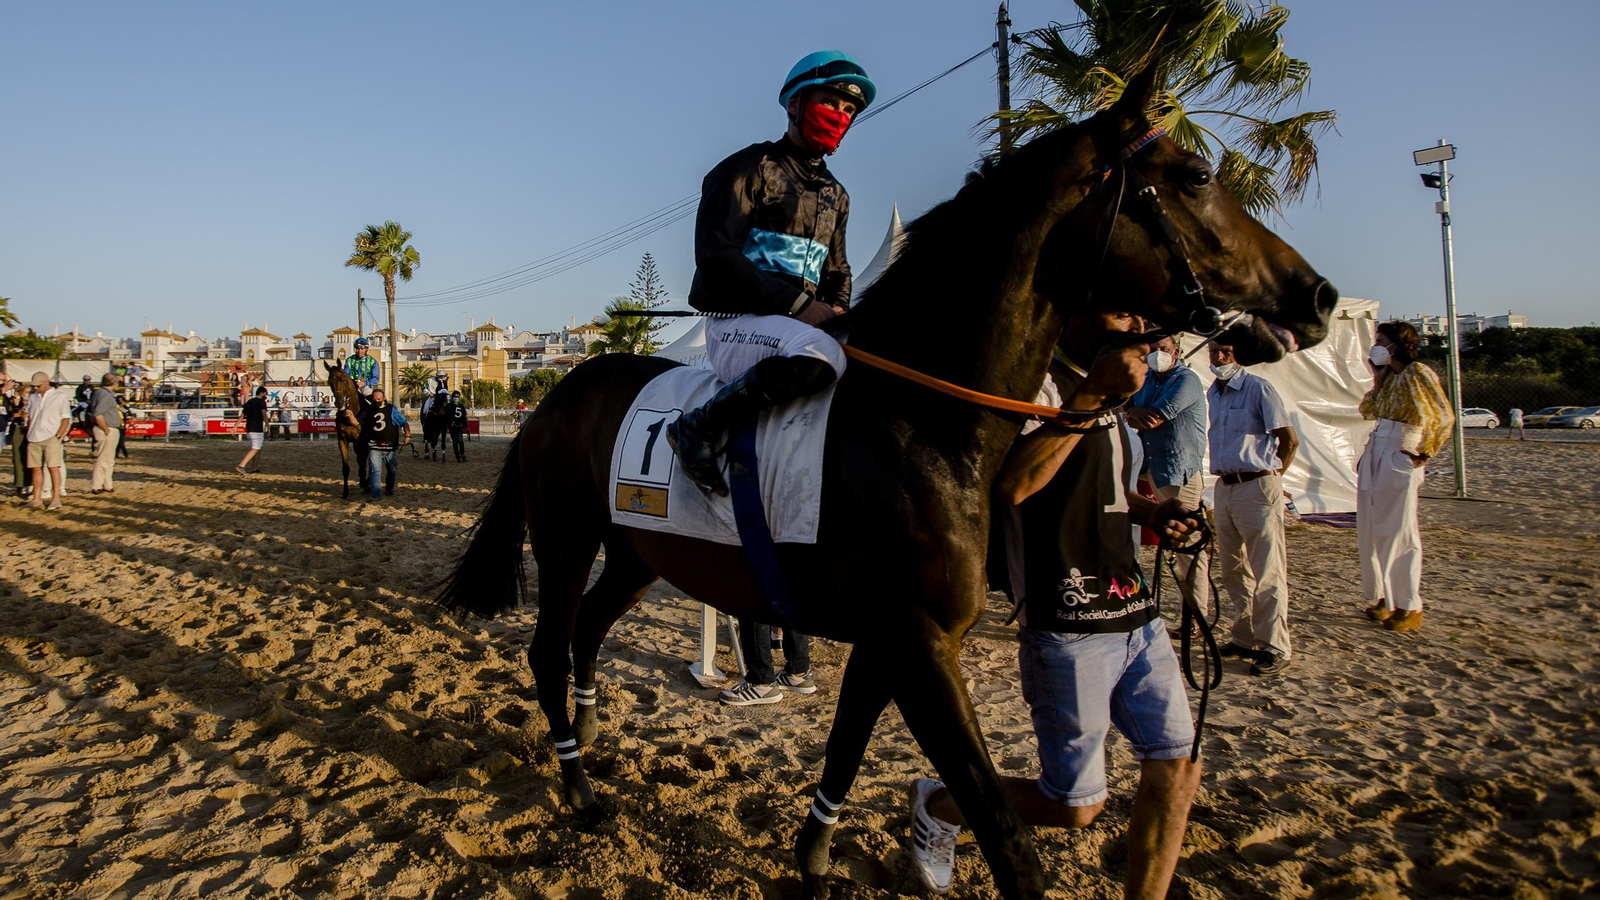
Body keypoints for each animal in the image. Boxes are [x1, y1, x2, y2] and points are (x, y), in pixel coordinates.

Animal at [323, 361, 367, 500]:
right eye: (329, 381)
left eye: (343, 379)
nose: (339, 403)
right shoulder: (343, 440)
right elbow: (346, 468)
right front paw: (345, 492)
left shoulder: (362, 442)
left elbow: (362, 464)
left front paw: (366, 486)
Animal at [435, 69, 1337, 900]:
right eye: (1195, 175)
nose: (1319, 294)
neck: (923, 421)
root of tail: (556, 394)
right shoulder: (919, 643)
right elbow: (1003, 830)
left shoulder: (891, 639)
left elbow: (845, 748)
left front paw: (814, 859)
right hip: (564, 539)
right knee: (549, 644)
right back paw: (578, 784)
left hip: (639, 553)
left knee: (588, 630)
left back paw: (588, 733)